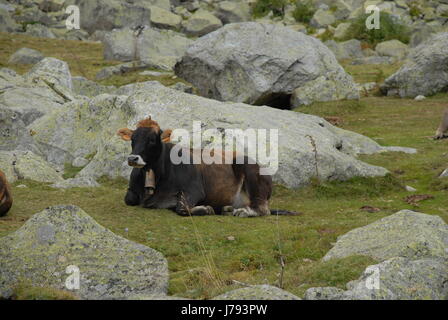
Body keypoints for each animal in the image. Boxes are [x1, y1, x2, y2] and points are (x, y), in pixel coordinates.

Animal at [117, 117, 300, 218]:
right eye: (133, 138)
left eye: (152, 139)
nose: (133, 158)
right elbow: (129, 199)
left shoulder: (194, 190)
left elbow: (182, 208)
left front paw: (205, 208)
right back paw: (227, 208)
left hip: (249, 171)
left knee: (263, 209)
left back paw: (242, 211)